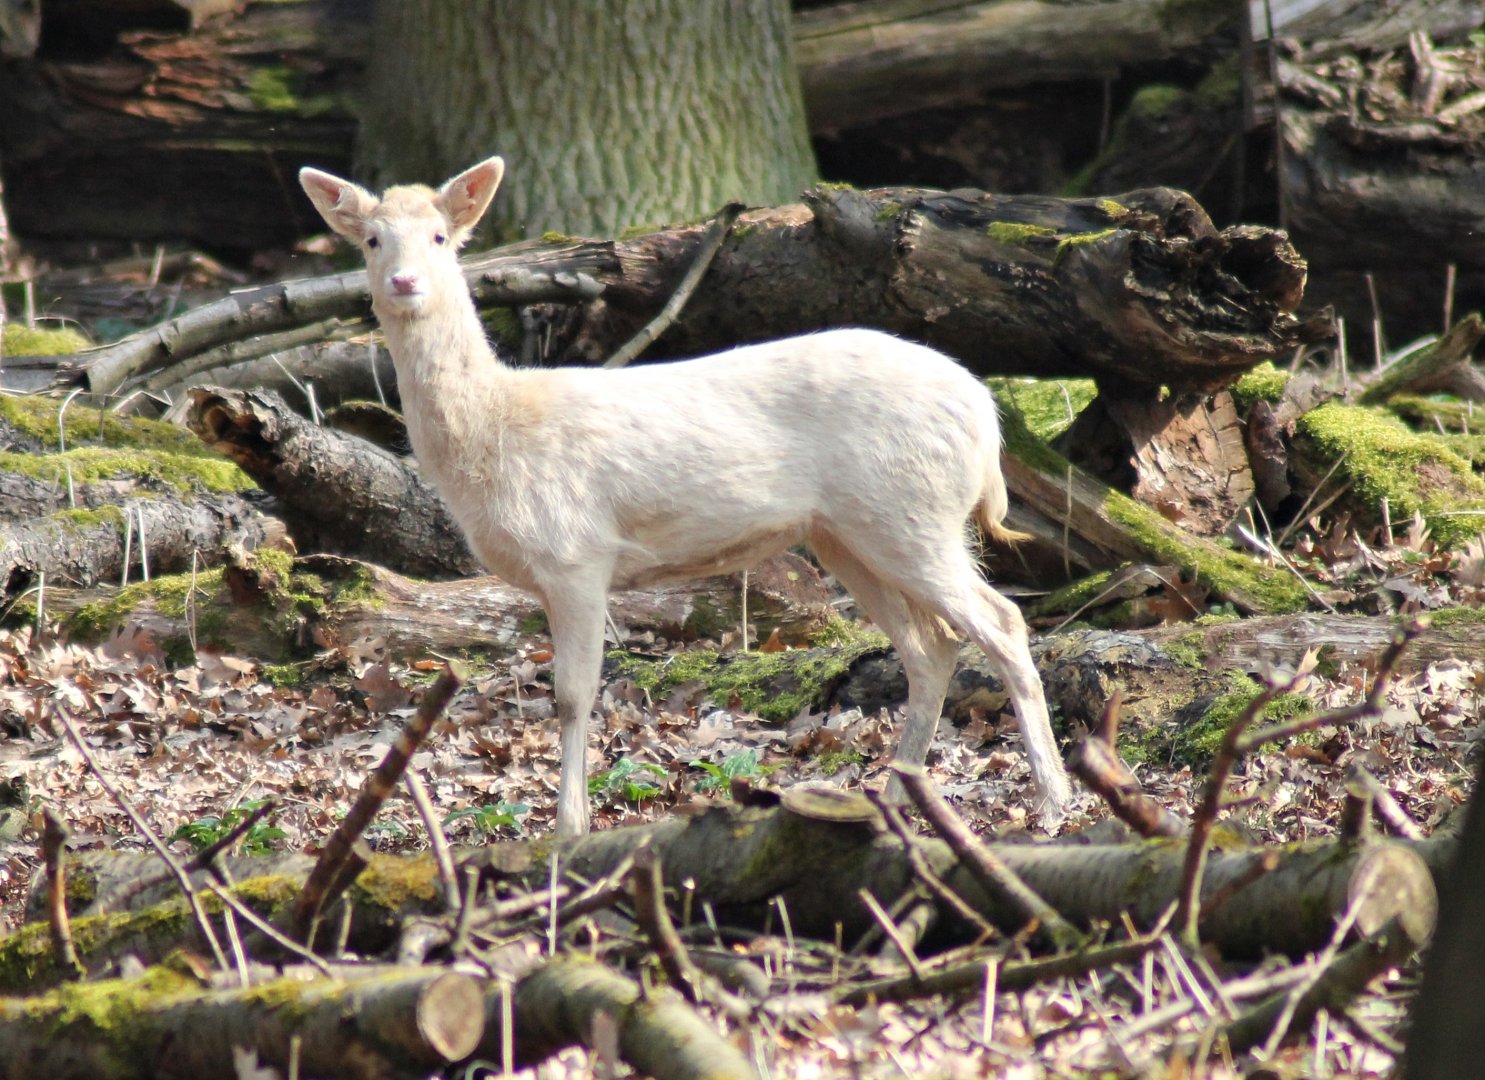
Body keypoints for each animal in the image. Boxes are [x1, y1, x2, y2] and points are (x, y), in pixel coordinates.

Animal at [298, 157, 1075, 836]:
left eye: (439, 237)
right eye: (371, 239)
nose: (403, 280)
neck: (494, 435)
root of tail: (985, 417)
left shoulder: (576, 553)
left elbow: (573, 694)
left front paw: (569, 827)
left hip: (911, 511)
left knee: (1002, 621)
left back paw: (1052, 801)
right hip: (849, 532)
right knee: (930, 647)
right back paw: (890, 794)